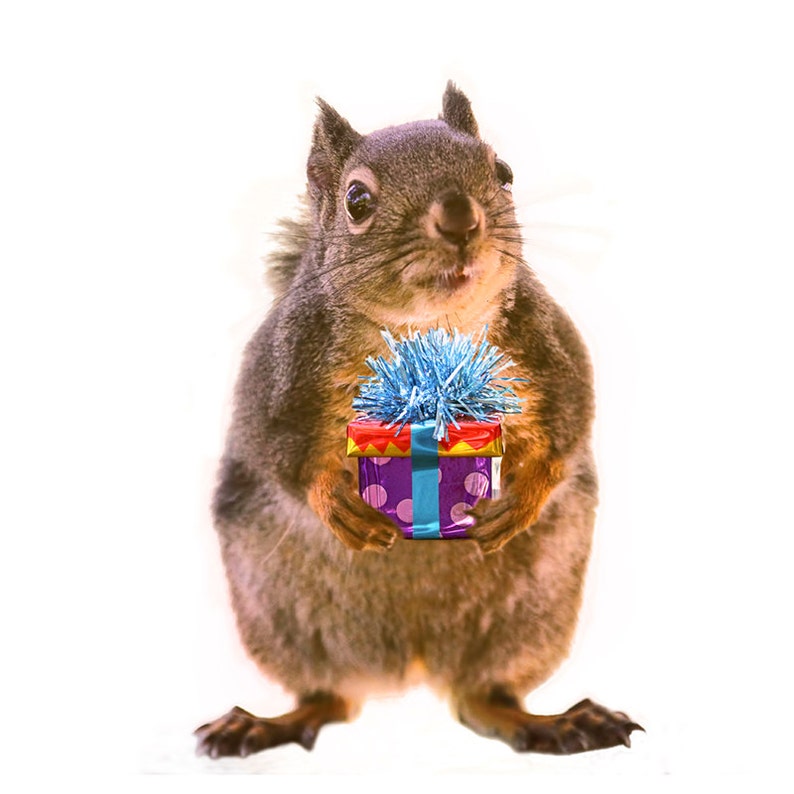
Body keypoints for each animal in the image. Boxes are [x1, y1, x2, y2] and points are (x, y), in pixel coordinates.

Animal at [195, 82, 642, 759]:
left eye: (503, 171)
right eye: (357, 200)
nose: (460, 218)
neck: (428, 330)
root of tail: (414, 664)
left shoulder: (550, 348)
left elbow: (570, 424)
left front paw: (521, 499)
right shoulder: (277, 376)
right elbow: (279, 450)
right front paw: (335, 502)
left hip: (536, 611)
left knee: (483, 699)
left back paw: (548, 722)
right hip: (279, 616)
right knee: (328, 697)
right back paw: (273, 722)